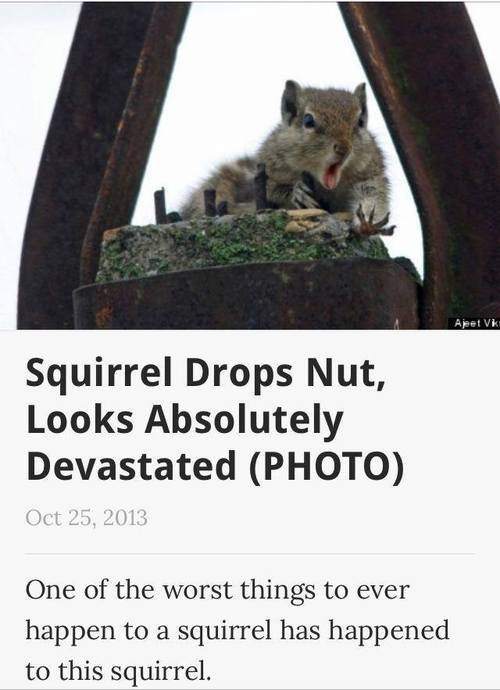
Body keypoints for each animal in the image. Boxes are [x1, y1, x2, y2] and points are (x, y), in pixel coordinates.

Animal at [181, 80, 393, 235]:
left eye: (360, 122)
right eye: (308, 120)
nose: (344, 148)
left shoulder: (370, 174)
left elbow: (373, 196)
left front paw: (368, 223)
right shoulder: (269, 168)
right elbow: (271, 189)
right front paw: (296, 192)